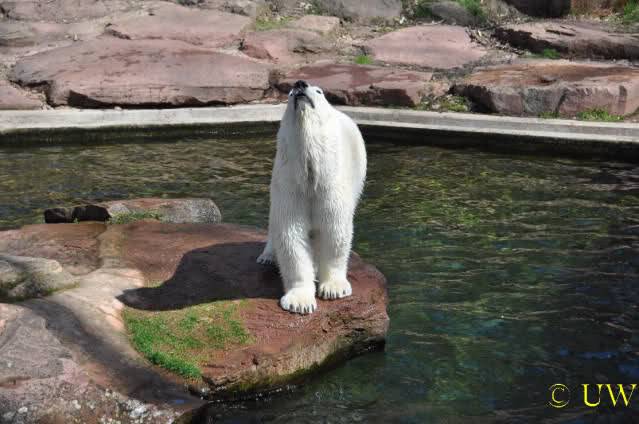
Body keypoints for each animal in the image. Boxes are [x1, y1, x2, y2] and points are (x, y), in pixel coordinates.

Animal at [257, 80, 367, 314]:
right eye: (290, 93)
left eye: (319, 91)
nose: (300, 84)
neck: (310, 175)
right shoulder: (290, 186)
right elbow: (291, 235)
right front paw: (300, 302)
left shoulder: (331, 186)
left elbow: (335, 231)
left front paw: (334, 288)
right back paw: (268, 256)